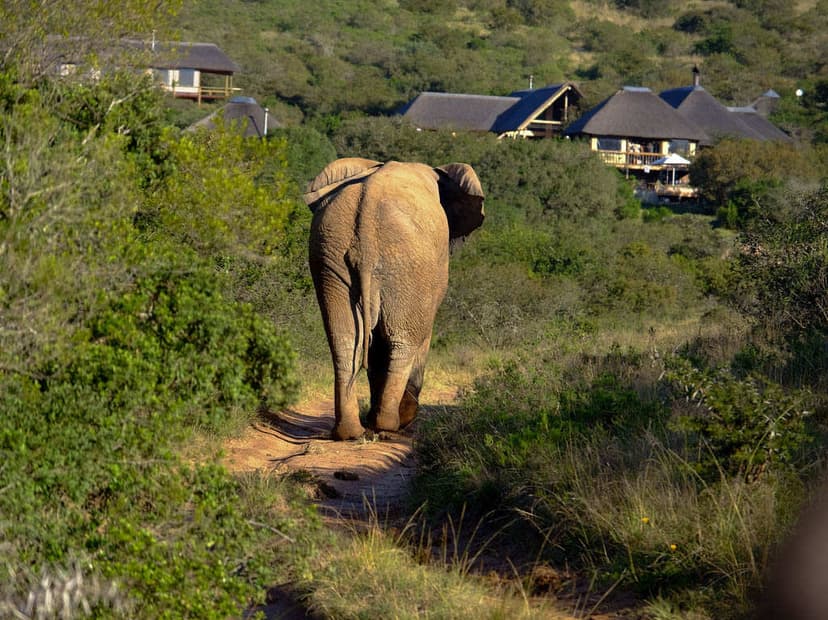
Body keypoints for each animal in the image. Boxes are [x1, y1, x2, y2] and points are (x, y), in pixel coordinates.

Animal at [303, 158, 485, 440]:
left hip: (329, 256)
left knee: (345, 341)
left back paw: (351, 432)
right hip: (409, 265)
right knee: (403, 342)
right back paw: (390, 426)